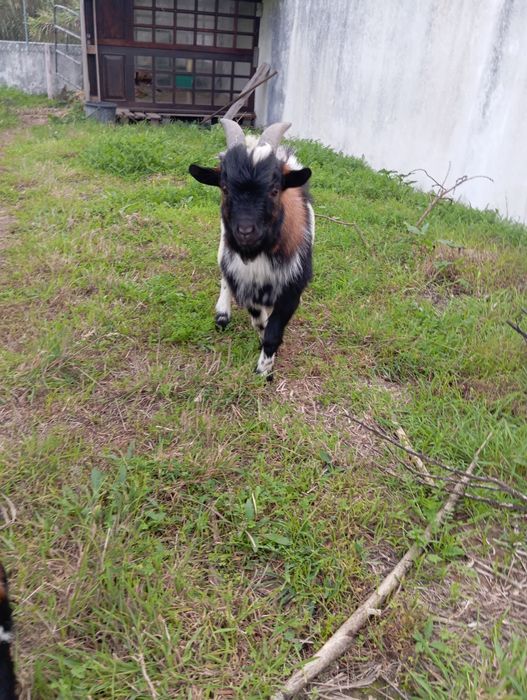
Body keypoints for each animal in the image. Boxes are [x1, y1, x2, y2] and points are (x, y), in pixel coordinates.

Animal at [189, 119, 314, 378]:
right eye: (225, 188)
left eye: (274, 190)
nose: (245, 231)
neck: (258, 253)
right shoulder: (245, 281)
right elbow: (259, 321)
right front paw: (264, 365)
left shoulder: (292, 288)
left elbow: (273, 331)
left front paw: (264, 372)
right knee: (224, 273)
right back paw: (222, 315)